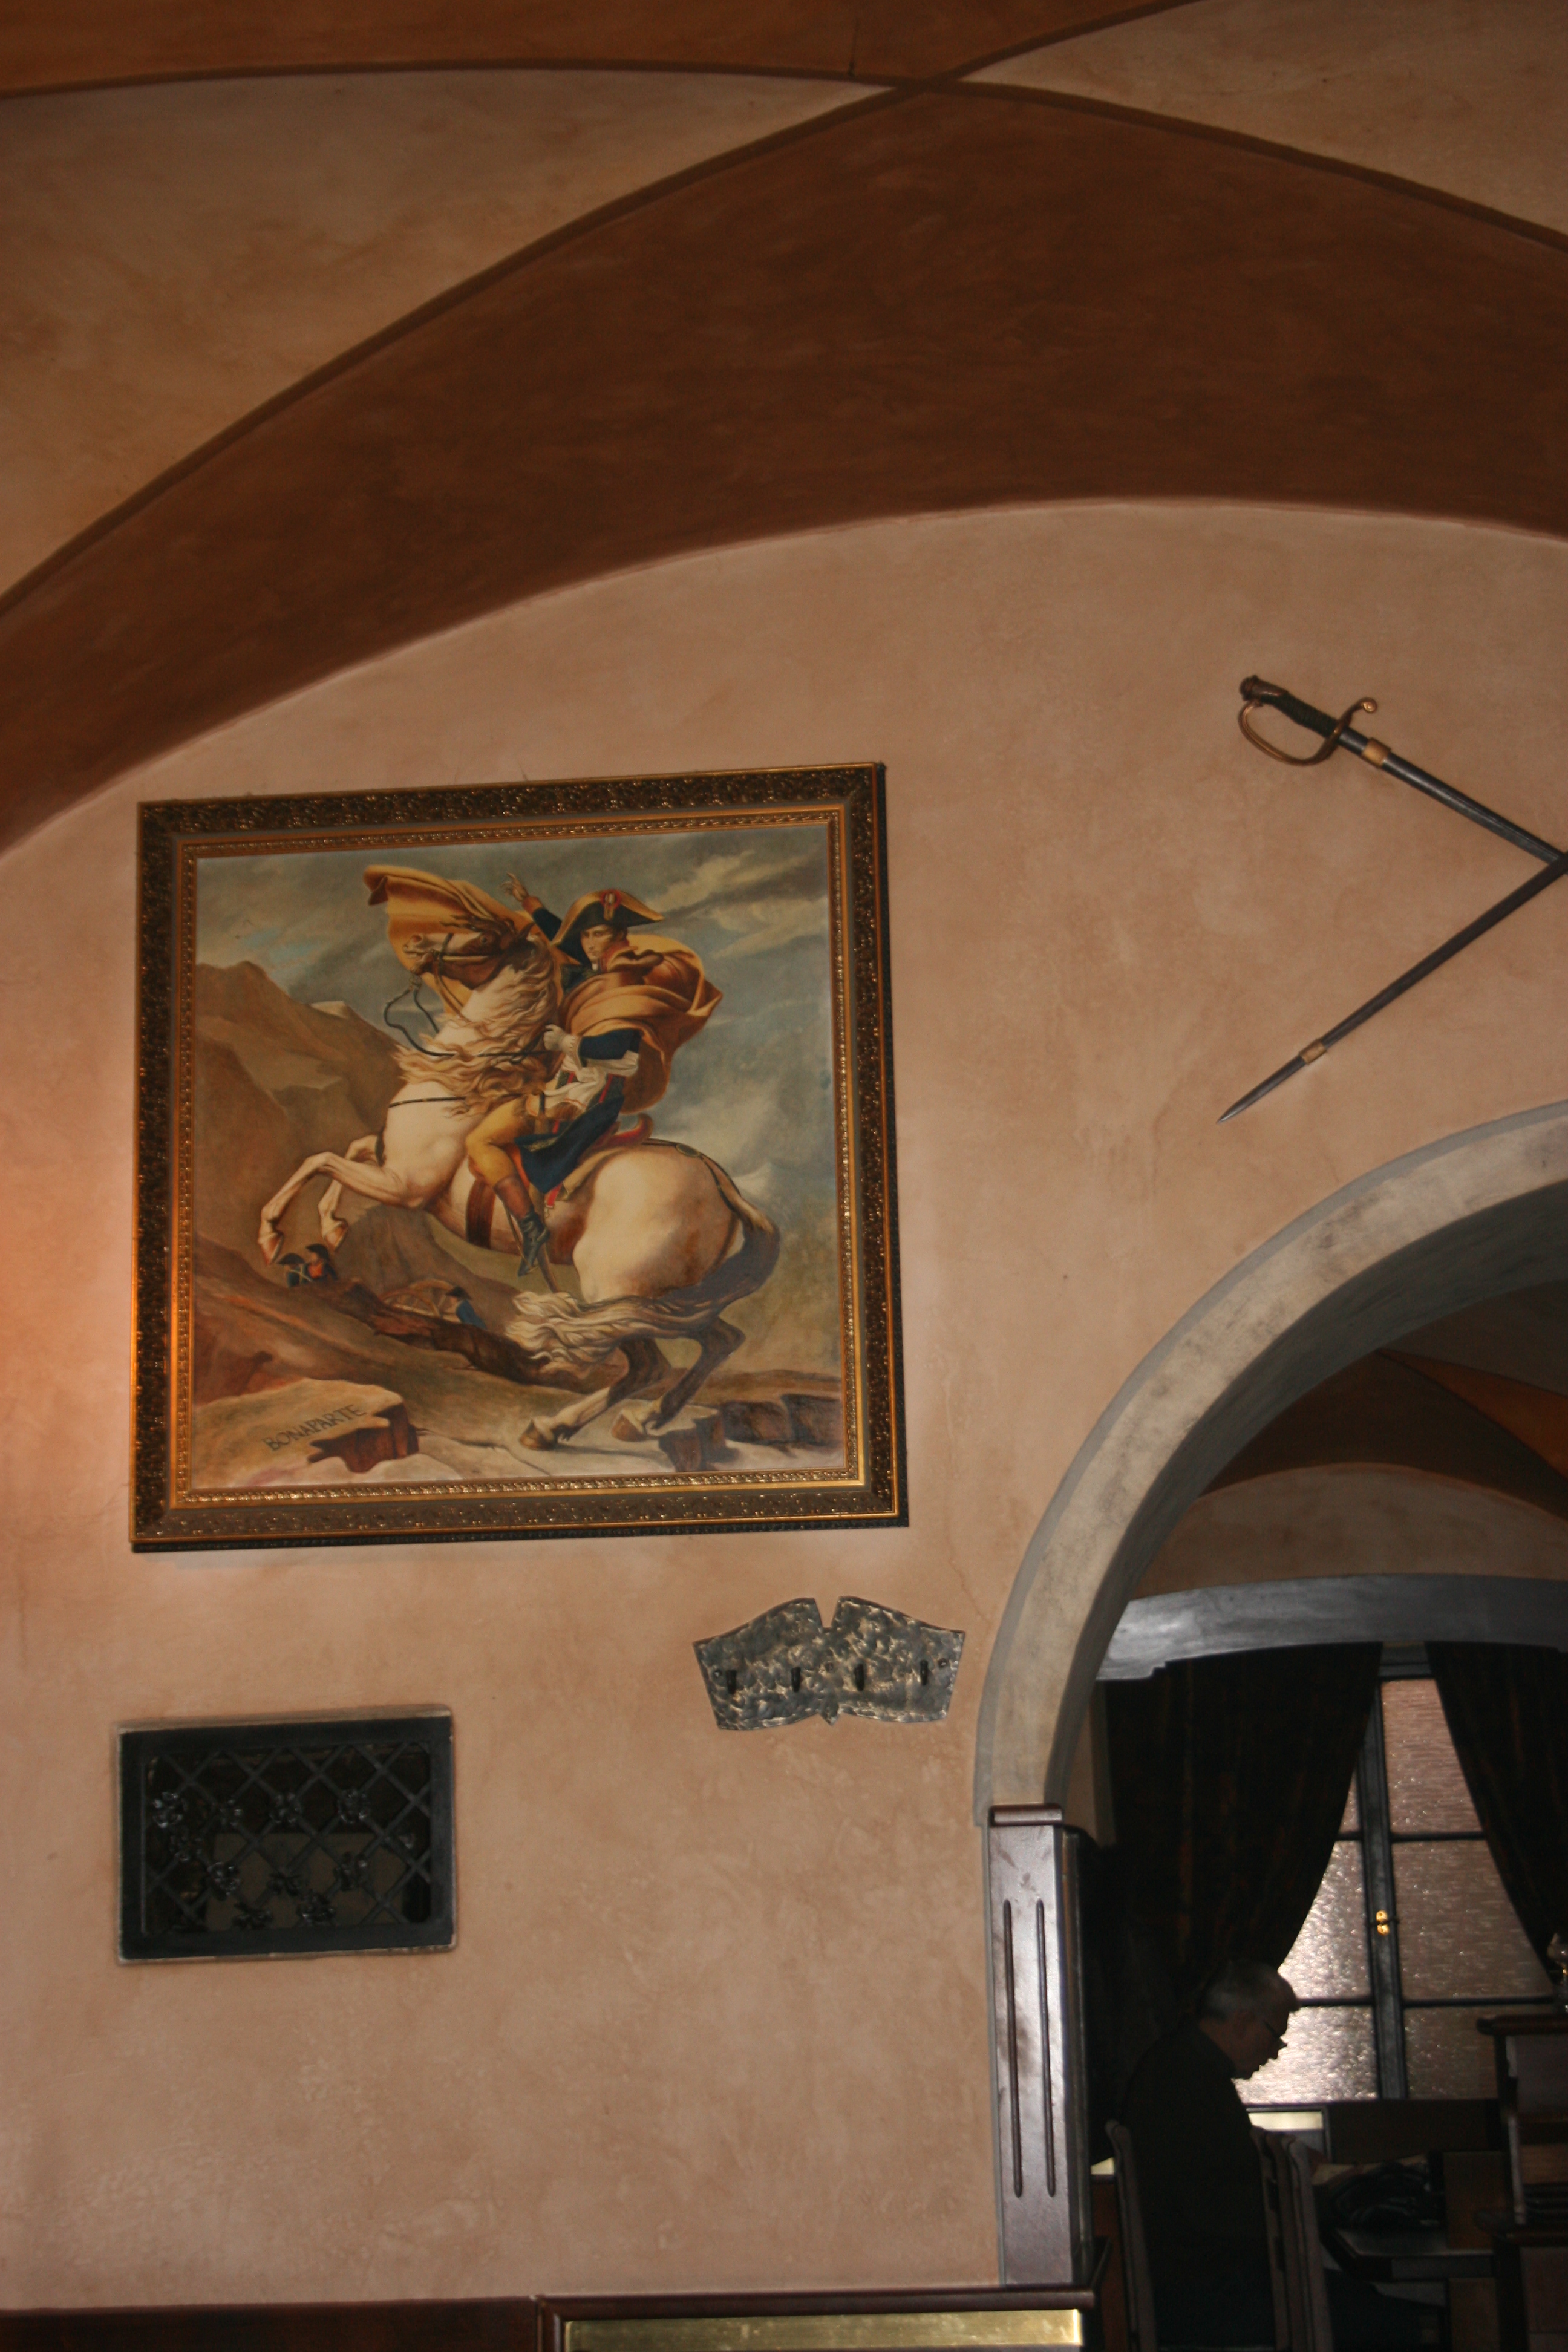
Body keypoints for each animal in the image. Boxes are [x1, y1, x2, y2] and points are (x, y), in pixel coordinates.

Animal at [255, 948, 778, 1450]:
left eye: (476, 941)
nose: (421, 957)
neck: (456, 1090)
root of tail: (716, 1180)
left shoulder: (404, 1185)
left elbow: (321, 1159)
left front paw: (272, 1233)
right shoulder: (389, 1165)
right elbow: (348, 1150)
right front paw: (331, 1227)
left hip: (615, 1289)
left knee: (649, 1362)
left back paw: (556, 1427)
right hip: (671, 1299)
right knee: (719, 1340)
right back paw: (640, 1419)